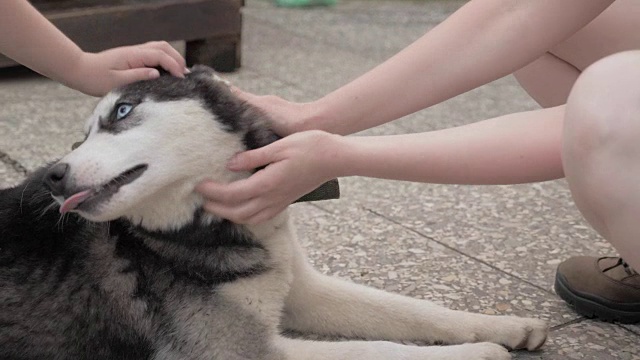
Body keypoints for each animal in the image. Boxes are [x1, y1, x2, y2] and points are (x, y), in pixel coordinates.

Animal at [1, 66, 544, 358]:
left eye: (121, 112)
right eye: (81, 136)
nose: (53, 177)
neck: (205, 228)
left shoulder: (301, 289)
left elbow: (411, 311)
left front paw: (502, 327)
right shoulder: (232, 349)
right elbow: (375, 347)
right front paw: (479, 352)